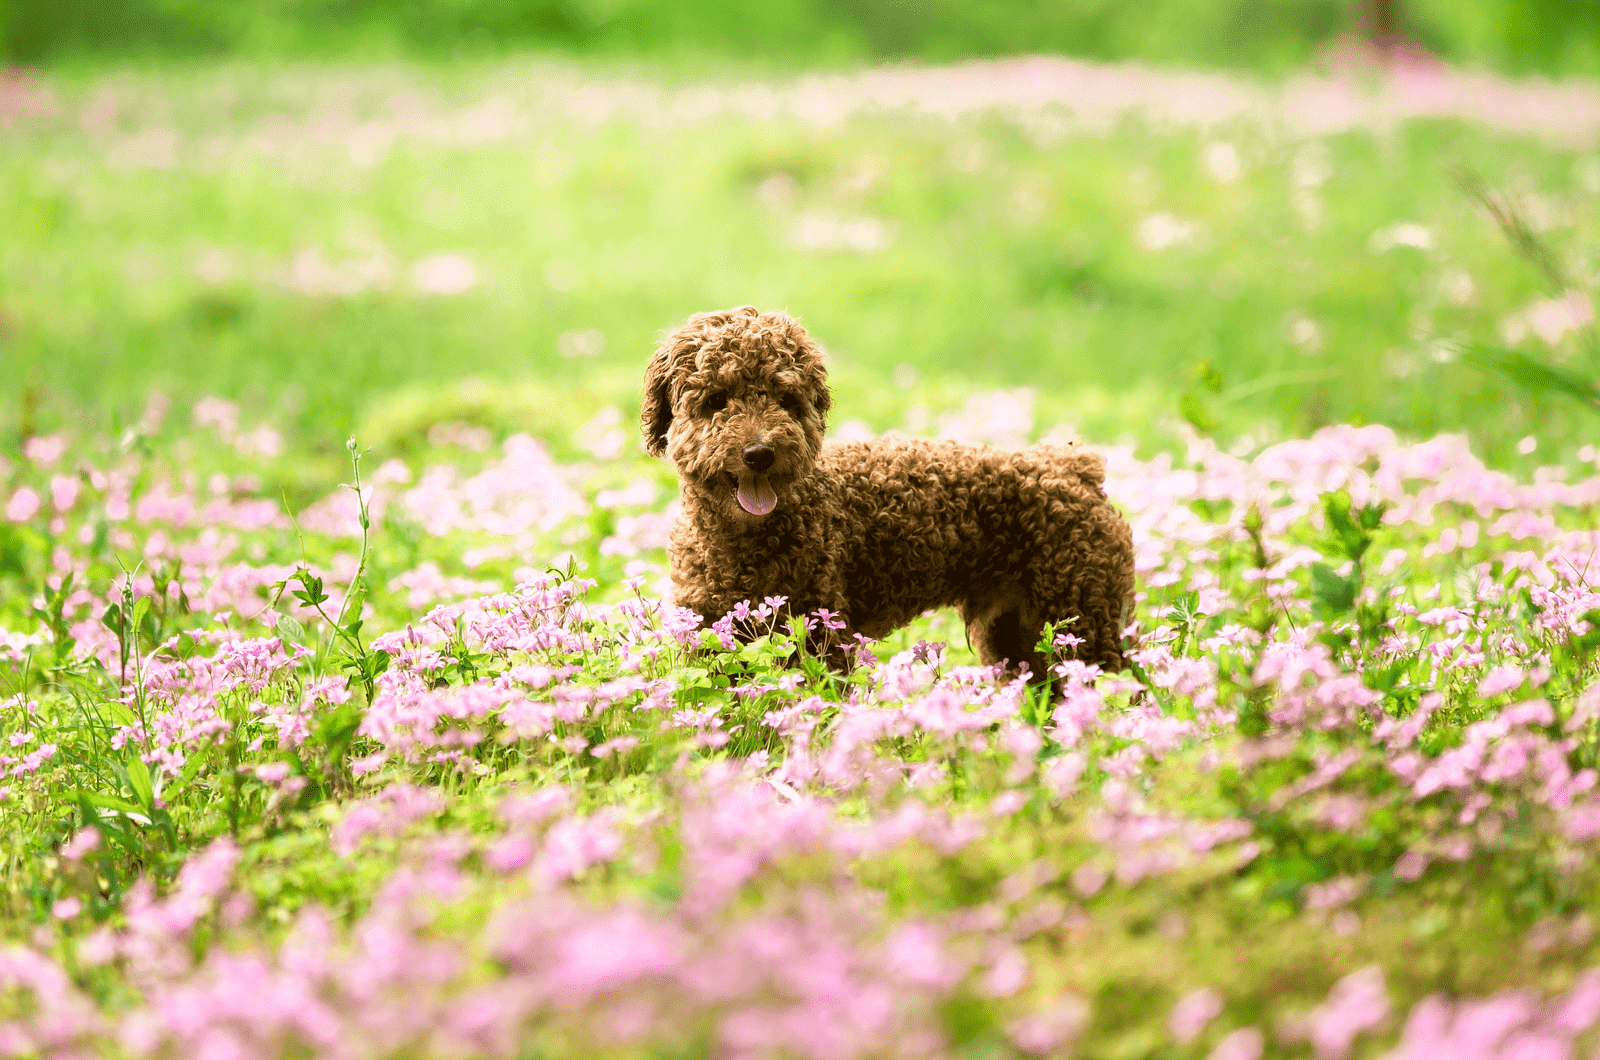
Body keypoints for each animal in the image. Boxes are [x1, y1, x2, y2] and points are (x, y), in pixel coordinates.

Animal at [640, 305, 1139, 682]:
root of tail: (1073, 468)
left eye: (785, 399)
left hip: (1080, 624)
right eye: (716, 400)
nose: (760, 453)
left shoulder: (819, 636)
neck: (747, 536)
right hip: (1020, 634)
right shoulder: (710, 633)